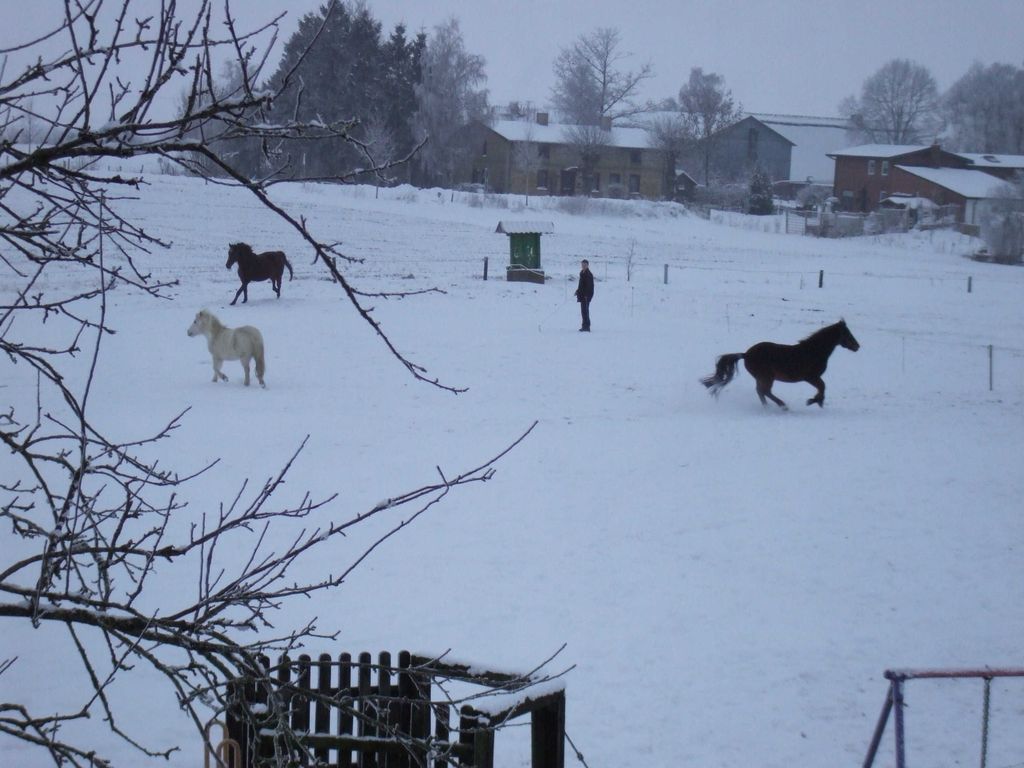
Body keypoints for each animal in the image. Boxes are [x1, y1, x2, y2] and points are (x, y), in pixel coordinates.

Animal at [700, 319, 860, 410]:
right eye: (847, 334)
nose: (857, 346)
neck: (813, 352)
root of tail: (746, 354)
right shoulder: (810, 377)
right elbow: (822, 387)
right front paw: (814, 401)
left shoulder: (813, 378)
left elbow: (822, 387)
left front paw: (817, 401)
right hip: (767, 377)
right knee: (764, 391)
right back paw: (783, 406)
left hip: (762, 377)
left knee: (761, 391)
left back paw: (768, 407)